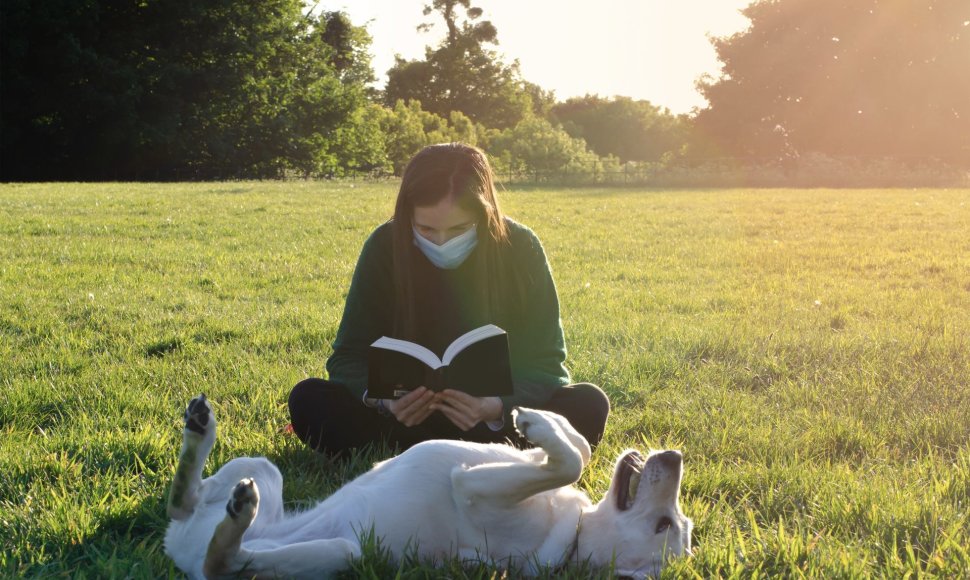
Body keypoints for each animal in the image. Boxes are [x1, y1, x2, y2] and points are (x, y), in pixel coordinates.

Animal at [166, 396, 692, 576]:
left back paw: (237, 518)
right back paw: (198, 436)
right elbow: (577, 447)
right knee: (185, 502)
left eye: (665, 525)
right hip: (262, 468)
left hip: (343, 553)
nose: (675, 457)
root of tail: (179, 555)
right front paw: (544, 420)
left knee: (223, 563)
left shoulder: (471, 488)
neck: (577, 530)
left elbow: (570, 462)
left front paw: (538, 423)